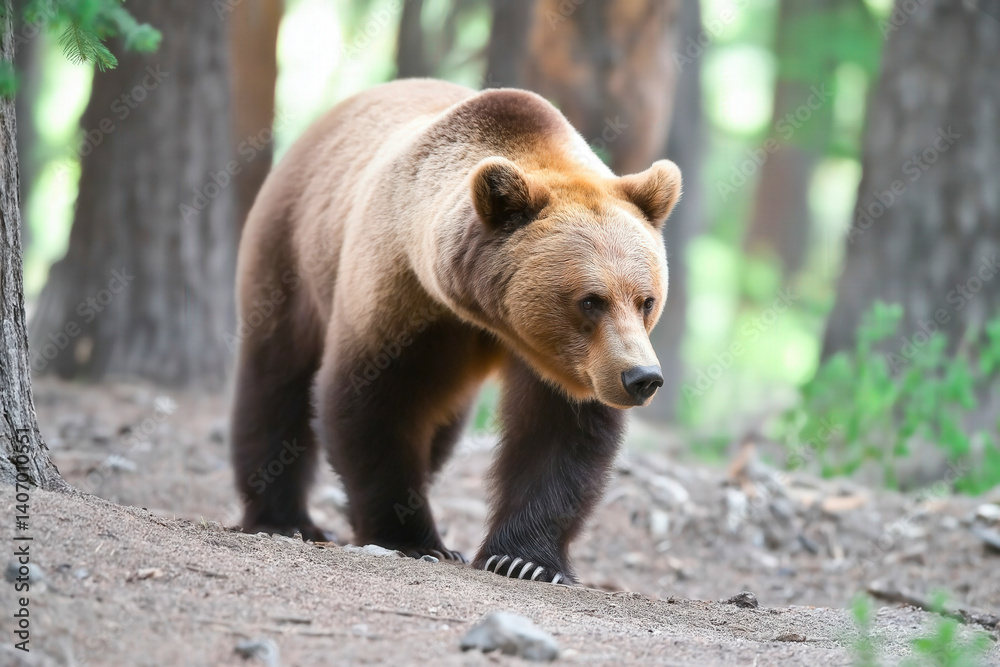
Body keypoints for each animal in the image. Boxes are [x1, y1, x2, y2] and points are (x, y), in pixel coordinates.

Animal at [230, 79, 681, 584]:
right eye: (591, 300)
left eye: (646, 300)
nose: (642, 378)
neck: (479, 312)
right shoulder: (399, 296)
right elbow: (372, 404)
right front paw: (414, 540)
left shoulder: (566, 364)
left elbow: (562, 434)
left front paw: (524, 560)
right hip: (291, 249)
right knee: (275, 382)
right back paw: (283, 518)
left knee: (439, 427)